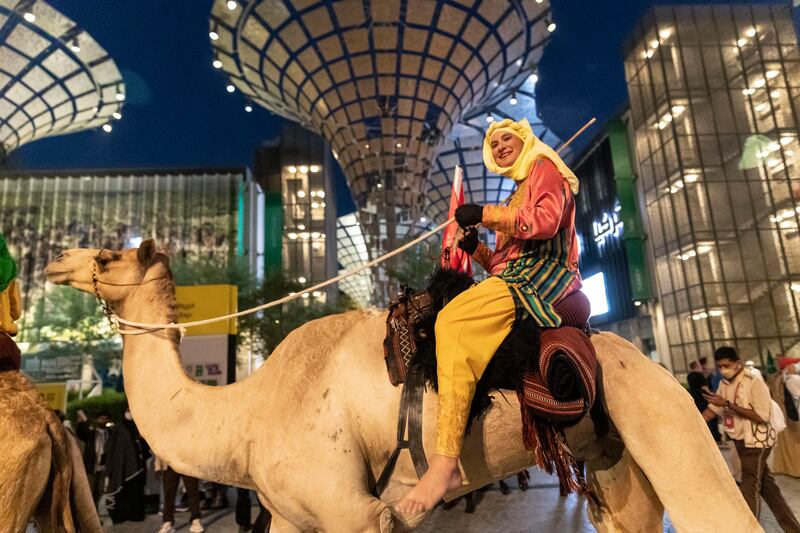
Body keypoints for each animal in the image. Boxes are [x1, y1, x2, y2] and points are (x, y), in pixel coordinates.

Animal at [45, 241, 764, 532]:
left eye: (109, 256)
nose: (56, 260)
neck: (246, 413)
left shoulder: (355, 511)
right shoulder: (293, 516)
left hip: (662, 417)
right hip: (613, 459)